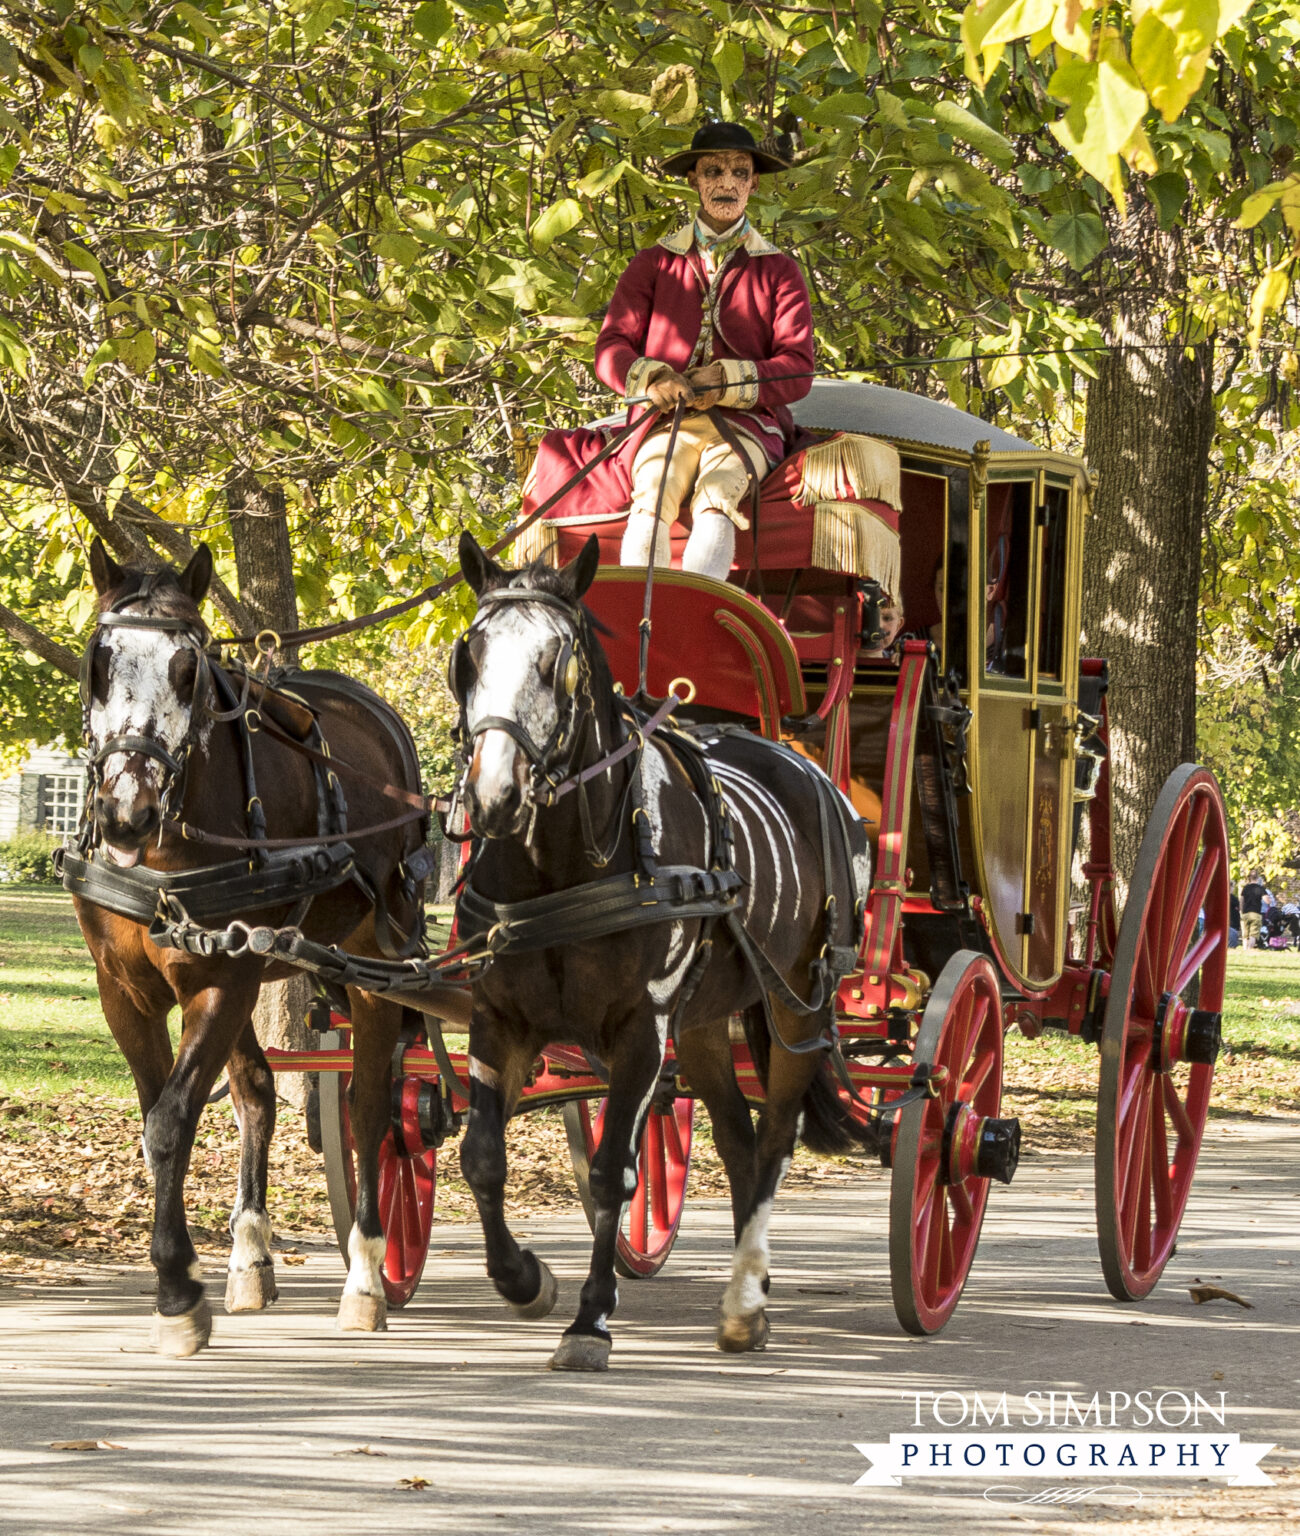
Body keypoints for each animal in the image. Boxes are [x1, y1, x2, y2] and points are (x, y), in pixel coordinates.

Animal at [69, 540, 427, 1357]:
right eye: (98, 661)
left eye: (188, 669)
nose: (127, 811)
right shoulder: (125, 991)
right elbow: (162, 1117)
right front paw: (196, 1272)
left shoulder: (220, 980)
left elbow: (171, 1122)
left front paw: (177, 1291)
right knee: (259, 1091)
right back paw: (251, 1254)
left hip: (374, 958)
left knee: (369, 1105)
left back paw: (367, 1275)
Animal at [451, 537, 872, 1370]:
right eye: (470, 655)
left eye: (556, 663)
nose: (493, 798)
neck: (562, 865)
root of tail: (804, 764)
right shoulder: (499, 1018)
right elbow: (481, 1154)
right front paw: (524, 1280)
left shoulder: (641, 1030)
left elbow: (615, 1171)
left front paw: (589, 1320)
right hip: (707, 1022)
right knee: (739, 1138)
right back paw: (751, 1291)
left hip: (797, 1007)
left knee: (775, 1138)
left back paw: (743, 1301)